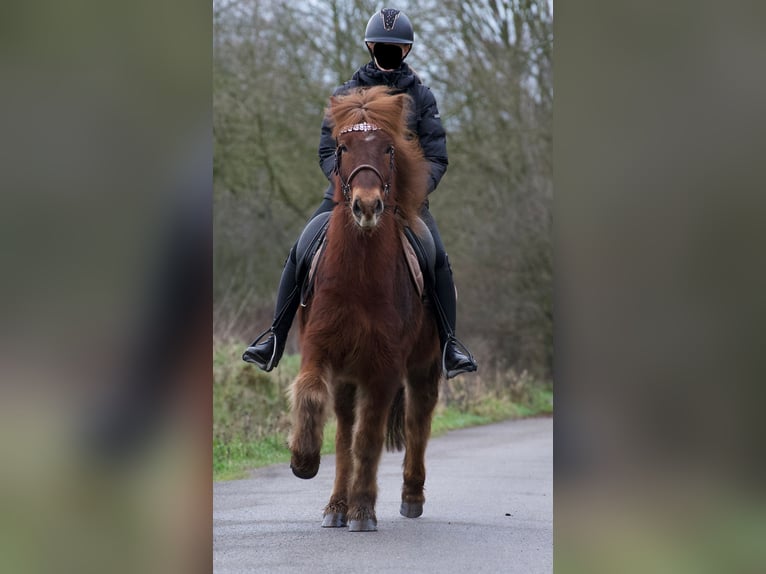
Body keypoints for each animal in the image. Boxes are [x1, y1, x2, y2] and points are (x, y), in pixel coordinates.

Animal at [287, 85, 442, 532]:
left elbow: (369, 438)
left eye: (389, 148)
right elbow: (311, 396)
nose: (368, 207)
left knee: (417, 422)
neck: (359, 276)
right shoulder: (320, 349)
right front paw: (303, 461)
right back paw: (335, 506)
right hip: (347, 375)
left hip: (423, 368)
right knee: (343, 431)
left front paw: (363, 509)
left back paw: (410, 498)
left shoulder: (385, 367)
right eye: (342, 147)